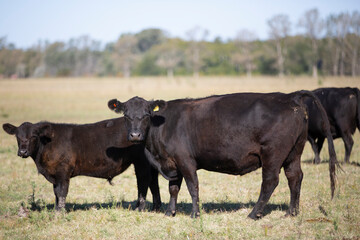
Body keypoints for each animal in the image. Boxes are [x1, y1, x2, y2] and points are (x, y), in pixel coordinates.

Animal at [2, 118, 160, 212]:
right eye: (17, 136)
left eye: (34, 136)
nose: (22, 151)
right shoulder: (55, 174)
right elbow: (56, 193)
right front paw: (56, 209)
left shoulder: (63, 171)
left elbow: (61, 192)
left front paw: (60, 212)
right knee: (153, 182)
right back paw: (156, 207)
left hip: (141, 162)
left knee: (143, 182)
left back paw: (140, 208)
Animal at [107, 91, 338, 220]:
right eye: (126, 115)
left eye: (147, 114)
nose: (135, 135)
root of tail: (290, 97)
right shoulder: (173, 163)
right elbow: (173, 188)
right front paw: (170, 212)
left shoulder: (186, 161)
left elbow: (192, 187)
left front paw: (195, 214)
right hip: (293, 153)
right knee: (295, 177)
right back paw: (292, 212)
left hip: (273, 154)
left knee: (270, 182)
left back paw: (254, 214)